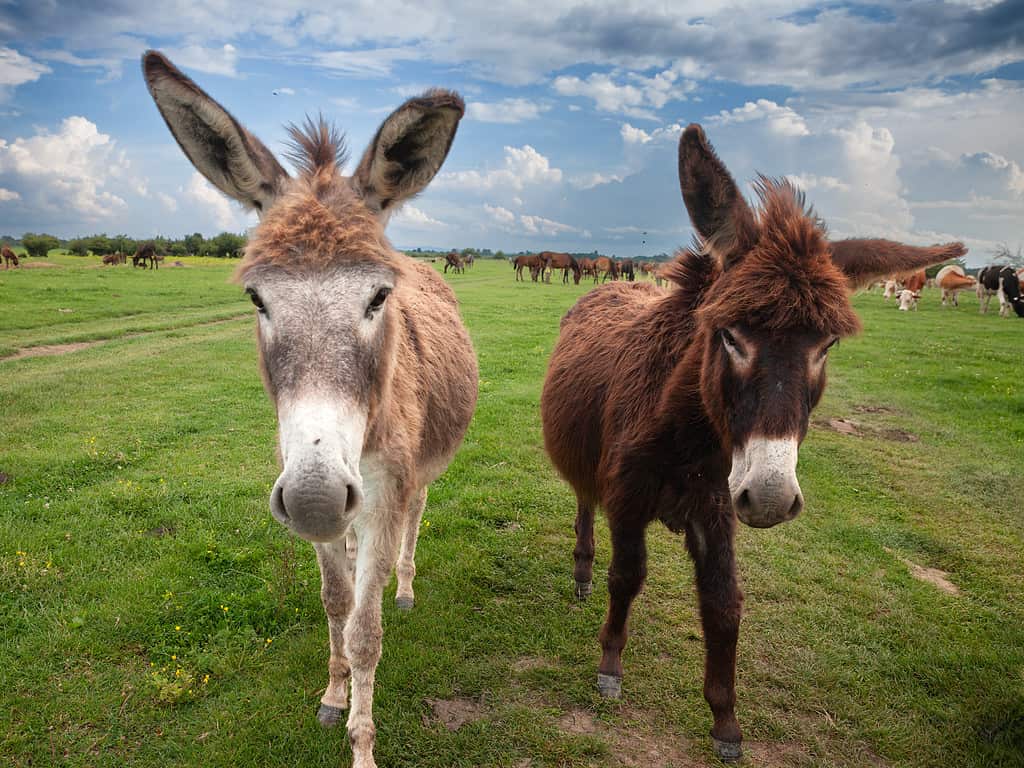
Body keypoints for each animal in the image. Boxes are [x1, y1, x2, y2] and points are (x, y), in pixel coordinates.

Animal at [143, 50, 478, 768]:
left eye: (379, 297)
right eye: (257, 300)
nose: (319, 500)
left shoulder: (382, 491)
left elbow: (365, 629)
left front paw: (362, 744)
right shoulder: (315, 490)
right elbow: (334, 603)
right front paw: (333, 693)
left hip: (416, 475)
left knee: (415, 521)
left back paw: (404, 588)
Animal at [540, 123, 963, 762]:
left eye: (826, 346)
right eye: (730, 336)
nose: (768, 497)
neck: (689, 439)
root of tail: (610, 284)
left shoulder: (717, 506)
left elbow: (724, 604)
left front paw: (725, 722)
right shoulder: (629, 496)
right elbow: (627, 576)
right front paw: (610, 664)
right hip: (591, 466)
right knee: (585, 501)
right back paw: (583, 570)